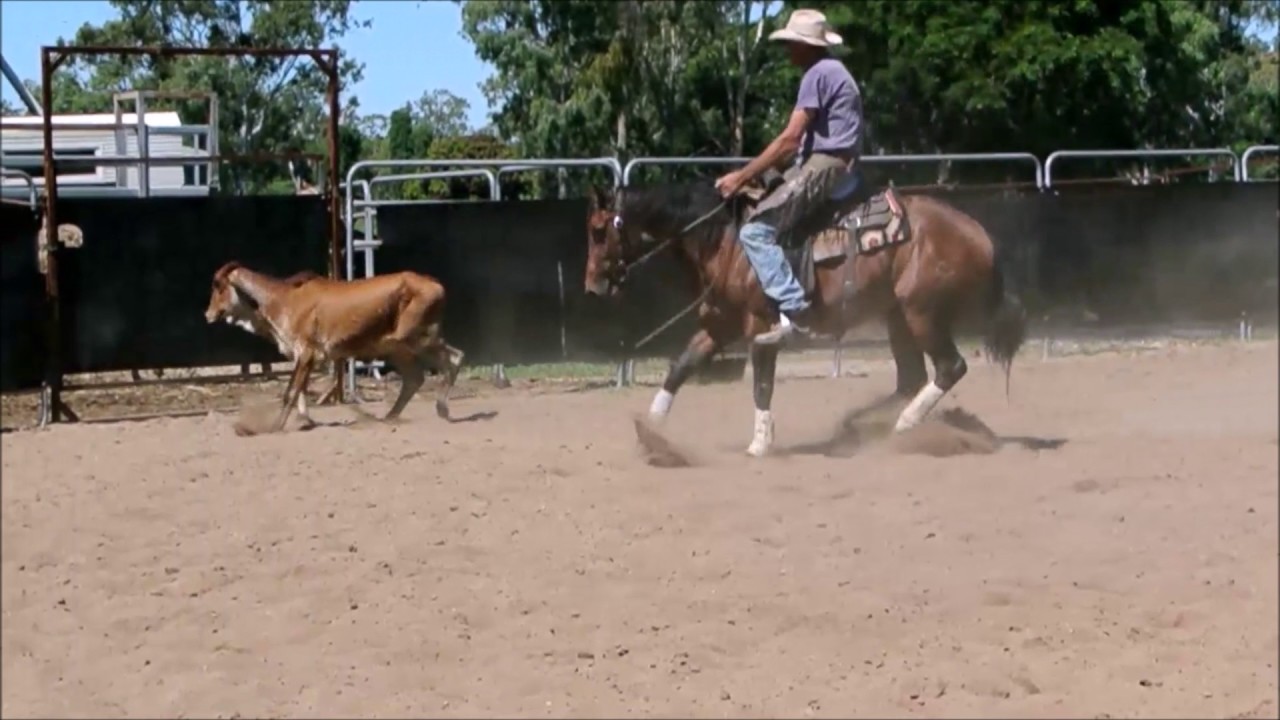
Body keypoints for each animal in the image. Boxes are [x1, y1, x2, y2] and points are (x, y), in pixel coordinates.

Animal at [583, 174, 1027, 457]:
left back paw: (904, 424)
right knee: (912, 378)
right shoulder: (718, 326)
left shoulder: (761, 328)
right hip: (897, 317)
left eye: (598, 230)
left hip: (923, 312)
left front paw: (760, 444)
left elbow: (762, 385)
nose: (592, 286)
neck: (726, 243)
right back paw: (862, 425)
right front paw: (652, 430)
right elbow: (680, 368)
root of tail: (981, 235)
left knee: (950, 367)